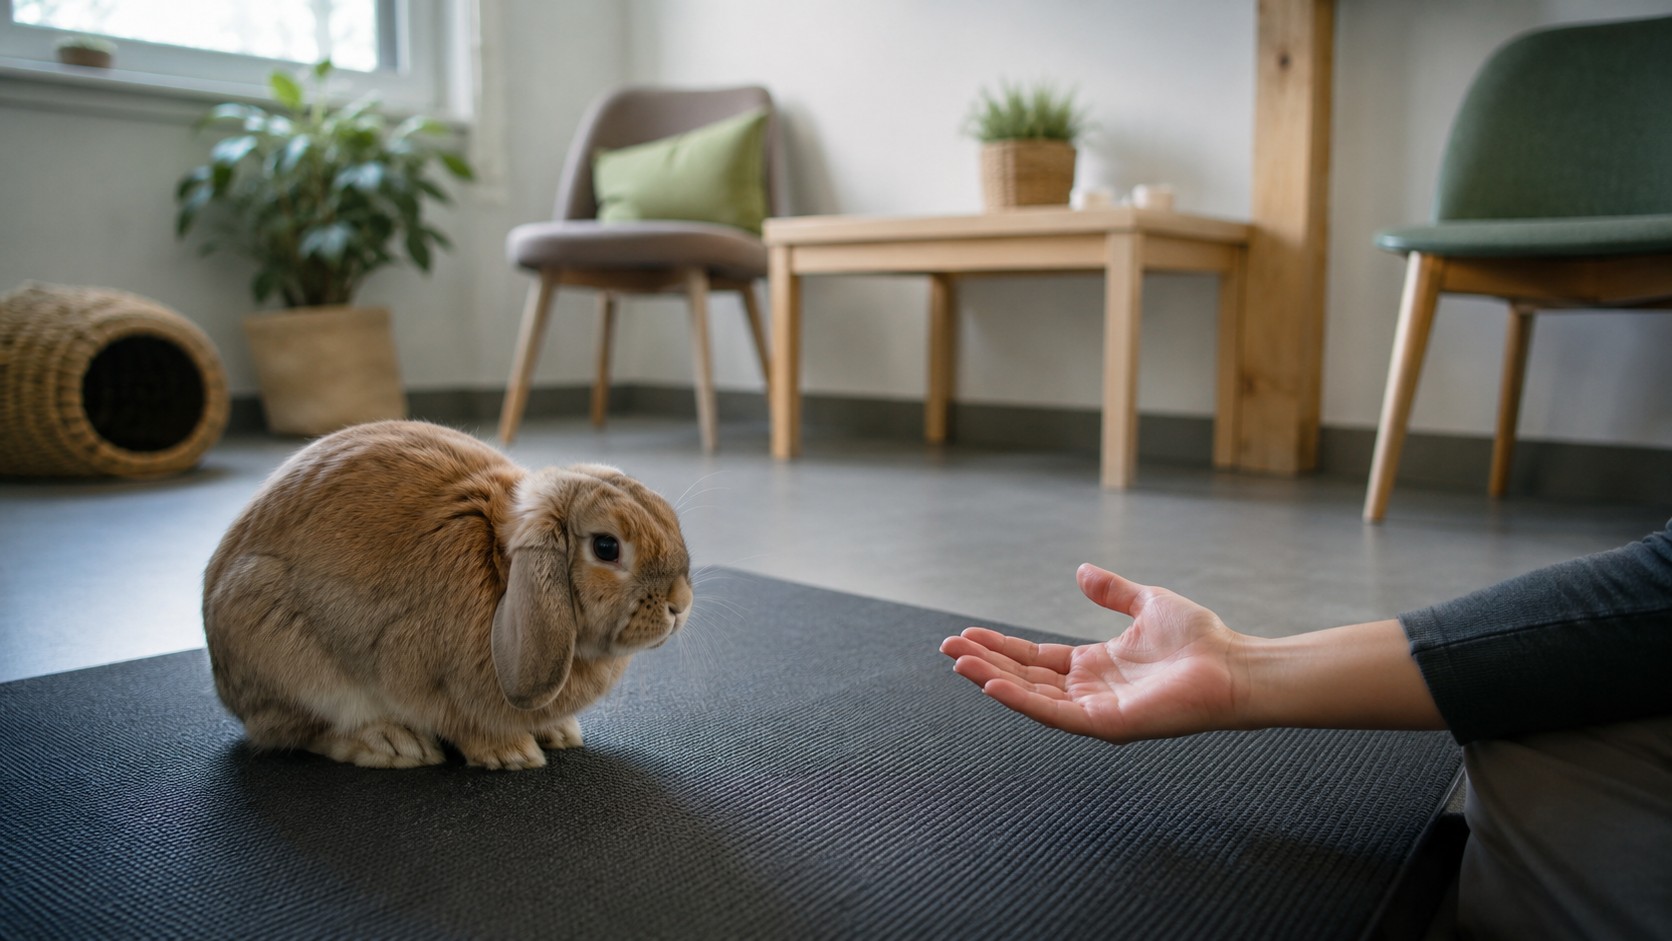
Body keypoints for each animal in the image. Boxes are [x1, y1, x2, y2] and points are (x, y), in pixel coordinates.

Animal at [203, 420, 692, 770]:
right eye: (607, 547)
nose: (681, 604)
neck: (501, 569)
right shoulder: (424, 677)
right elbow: (460, 722)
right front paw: (512, 754)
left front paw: (560, 733)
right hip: (290, 659)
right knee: (298, 732)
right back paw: (395, 745)